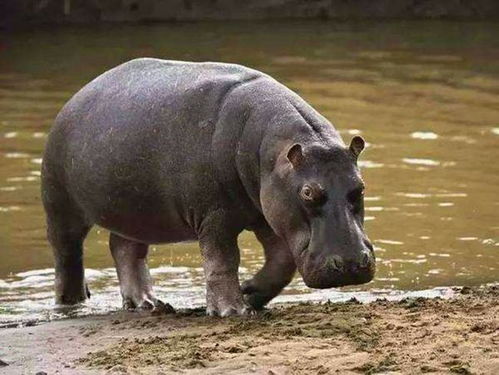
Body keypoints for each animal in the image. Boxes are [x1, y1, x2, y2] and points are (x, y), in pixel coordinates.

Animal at [41, 58, 374, 318]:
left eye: (360, 186)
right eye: (307, 192)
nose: (350, 263)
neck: (271, 153)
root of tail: (77, 96)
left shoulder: (267, 213)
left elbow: (282, 262)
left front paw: (249, 292)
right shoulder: (215, 216)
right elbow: (222, 260)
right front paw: (232, 311)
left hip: (134, 211)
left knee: (125, 249)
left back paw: (147, 303)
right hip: (61, 204)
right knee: (67, 255)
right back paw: (71, 304)